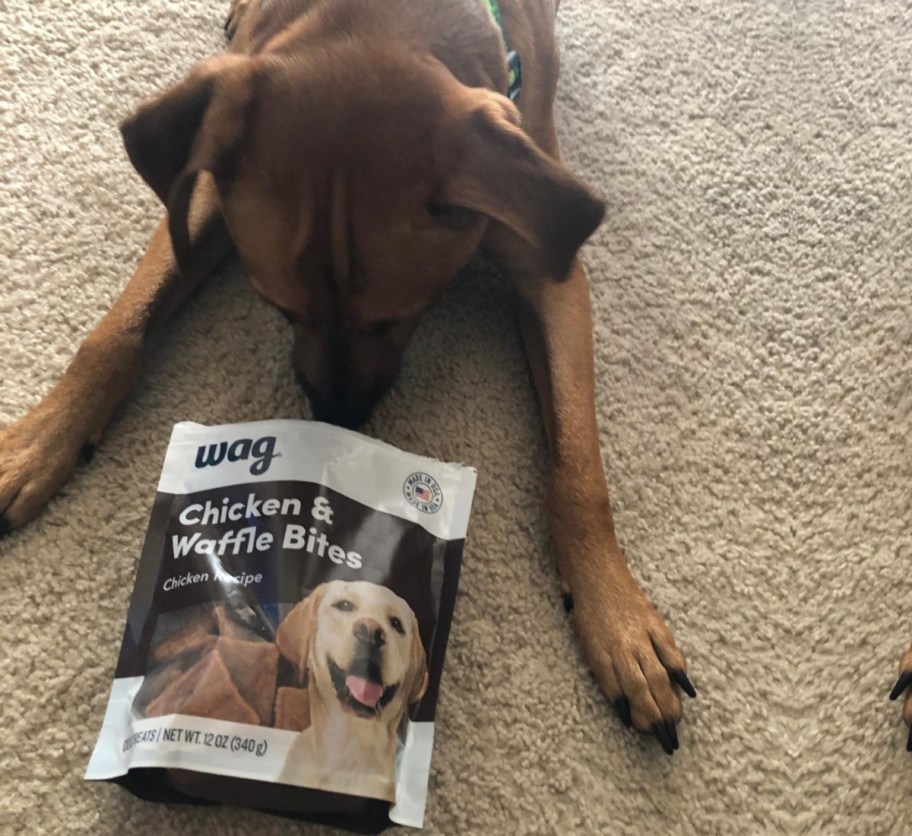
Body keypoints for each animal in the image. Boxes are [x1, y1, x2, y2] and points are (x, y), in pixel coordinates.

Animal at [0, 0, 696, 756]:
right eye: (277, 307)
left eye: (397, 317)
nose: (335, 419)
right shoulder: (204, 188)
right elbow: (116, 331)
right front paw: (38, 441)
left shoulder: (553, 265)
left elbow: (578, 468)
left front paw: (617, 619)